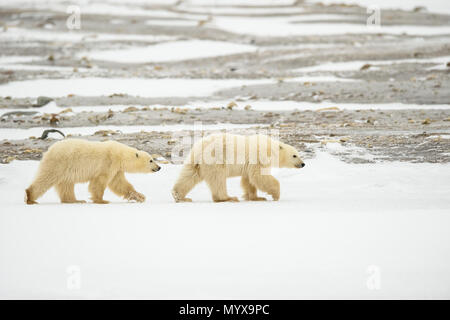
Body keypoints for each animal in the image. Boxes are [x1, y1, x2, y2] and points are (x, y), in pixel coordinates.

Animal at [25, 139, 160, 205]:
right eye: (151, 160)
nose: (159, 167)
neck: (120, 155)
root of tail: (49, 150)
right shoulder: (108, 163)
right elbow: (99, 182)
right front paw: (102, 200)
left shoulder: (116, 169)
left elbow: (119, 184)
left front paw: (139, 196)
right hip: (59, 164)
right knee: (45, 179)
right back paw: (30, 197)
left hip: (65, 170)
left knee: (66, 185)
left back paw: (75, 200)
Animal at [172, 133, 306, 202]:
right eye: (294, 155)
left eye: (298, 154)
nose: (303, 164)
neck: (270, 149)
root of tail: (199, 149)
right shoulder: (258, 158)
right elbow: (259, 177)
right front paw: (275, 195)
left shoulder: (250, 165)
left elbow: (248, 180)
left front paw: (256, 197)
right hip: (215, 159)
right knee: (218, 179)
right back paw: (228, 198)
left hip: (196, 161)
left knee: (189, 175)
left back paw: (179, 196)